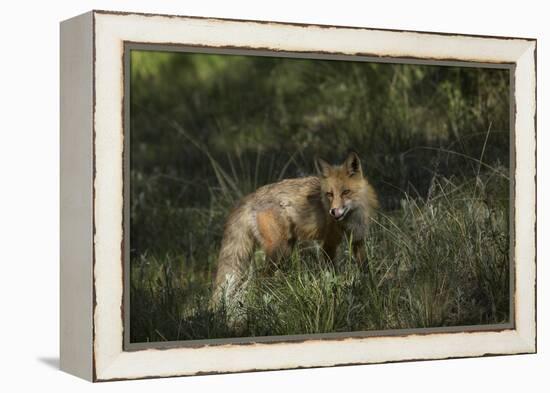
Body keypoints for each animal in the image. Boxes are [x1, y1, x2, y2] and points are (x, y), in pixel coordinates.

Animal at [213, 152, 378, 304]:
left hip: (285, 250)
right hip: (279, 250)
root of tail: (250, 196)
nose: (333, 211)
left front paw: (371, 289)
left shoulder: (357, 240)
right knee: (259, 281)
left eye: (345, 192)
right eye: (329, 194)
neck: (351, 218)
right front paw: (336, 295)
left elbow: (365, 269)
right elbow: (333, 275)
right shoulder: (328, 244)